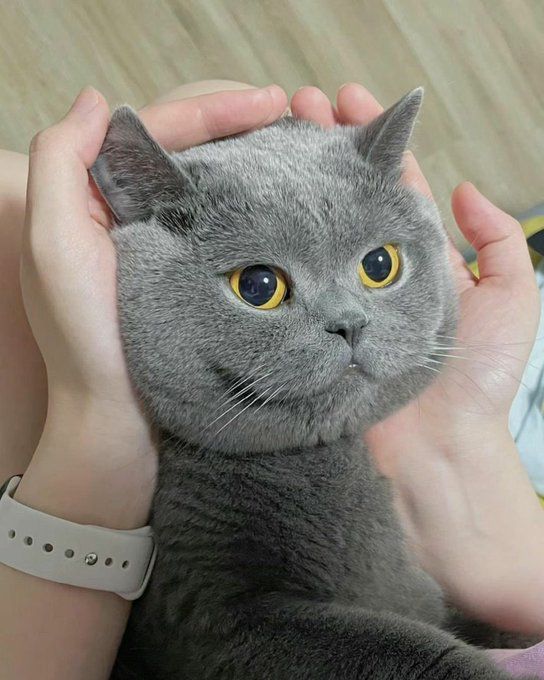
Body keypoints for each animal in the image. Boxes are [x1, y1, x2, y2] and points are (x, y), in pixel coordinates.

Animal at [92, 90, 532, 680]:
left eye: (379, 264)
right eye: (258, 286)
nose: (349, 323)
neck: (324, 456)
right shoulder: (206, 615)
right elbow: (396, 645)